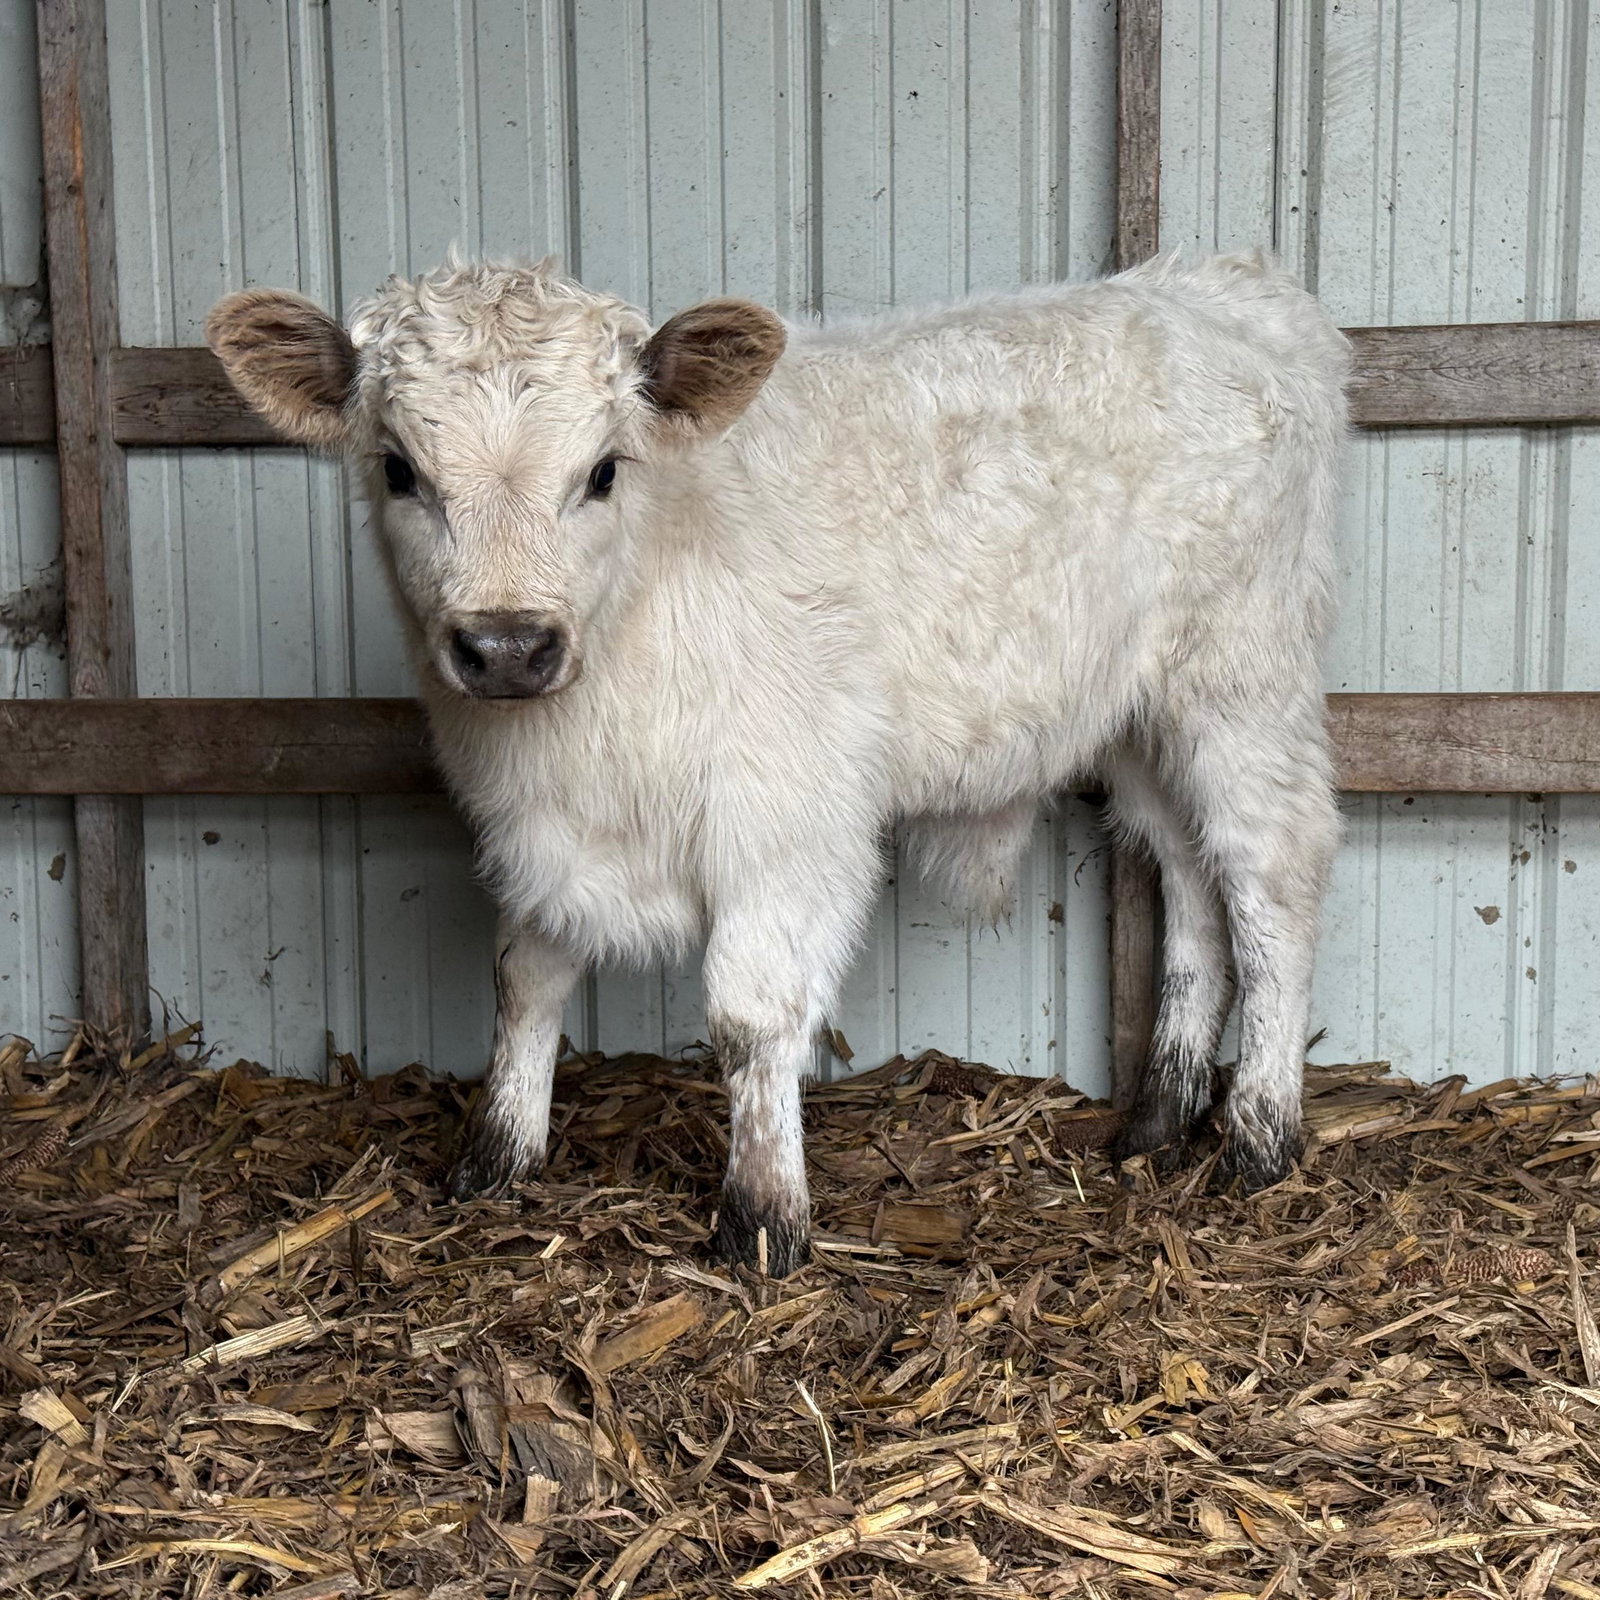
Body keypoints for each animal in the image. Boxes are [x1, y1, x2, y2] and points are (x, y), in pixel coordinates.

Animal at [206, 249, 1348, 1276]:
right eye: (400, 469)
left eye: (604, 470)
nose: (507, 645)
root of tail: (1214, 285)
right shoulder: (541, 828)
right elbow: (524, 976)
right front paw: (497, 1160)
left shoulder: (786, 819)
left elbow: (750, 1018)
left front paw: (761, 1218)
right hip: (1137, 720)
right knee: (1191, 876)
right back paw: (1157, 1120)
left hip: (1240, 680)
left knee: (1272, 874)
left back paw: (1258, 1137)